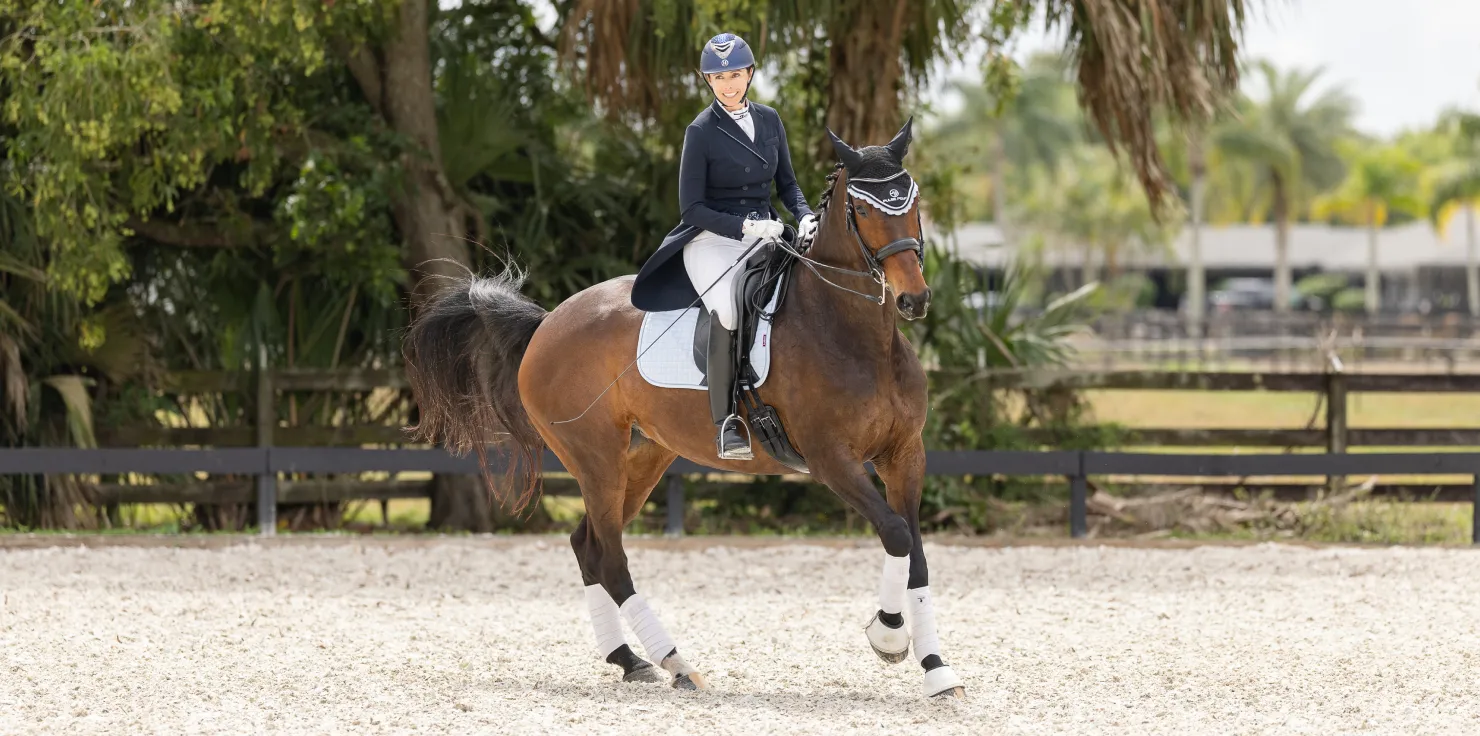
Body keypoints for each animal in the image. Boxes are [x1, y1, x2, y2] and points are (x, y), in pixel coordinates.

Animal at [401, 118, 965, 699]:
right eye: (864, 211)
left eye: (912, 203)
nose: (914, 300)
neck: (854, 336)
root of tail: (546, 323)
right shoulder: (831, 459)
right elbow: (897, 534)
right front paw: (888, 636)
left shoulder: (905, 454)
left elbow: (917, 552)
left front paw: (936, 669)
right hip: (596, 459)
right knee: (611, 556)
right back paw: (675, 663)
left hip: (645, 457)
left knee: (588, 545)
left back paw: (629, 659)